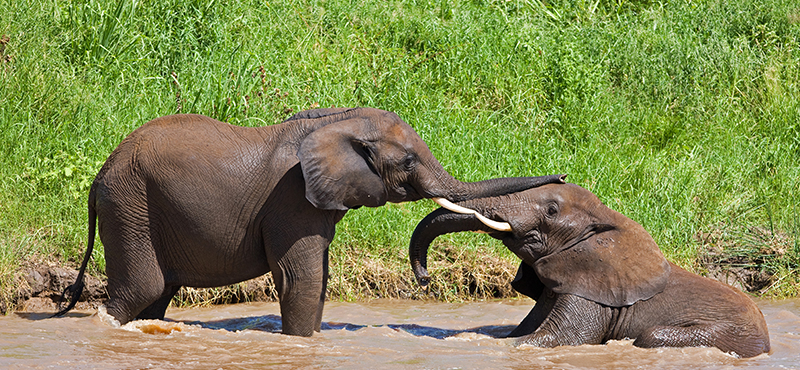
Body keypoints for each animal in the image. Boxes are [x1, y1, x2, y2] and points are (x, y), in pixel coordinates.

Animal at [53, 107, 564, 338]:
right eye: (408, 162)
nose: (562, 175)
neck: (338, 121)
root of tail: (99, 175)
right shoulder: (290, 201)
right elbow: (301, 276)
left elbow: (318, 275)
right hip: (130, 205)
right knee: (142, 287)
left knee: (157, 296)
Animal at [410, 183, 772, 358]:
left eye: (551, 211)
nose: (424, 278)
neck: (607, 217)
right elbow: (520, 332)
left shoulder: (593, 292)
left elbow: (561, 339)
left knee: (652, 336)